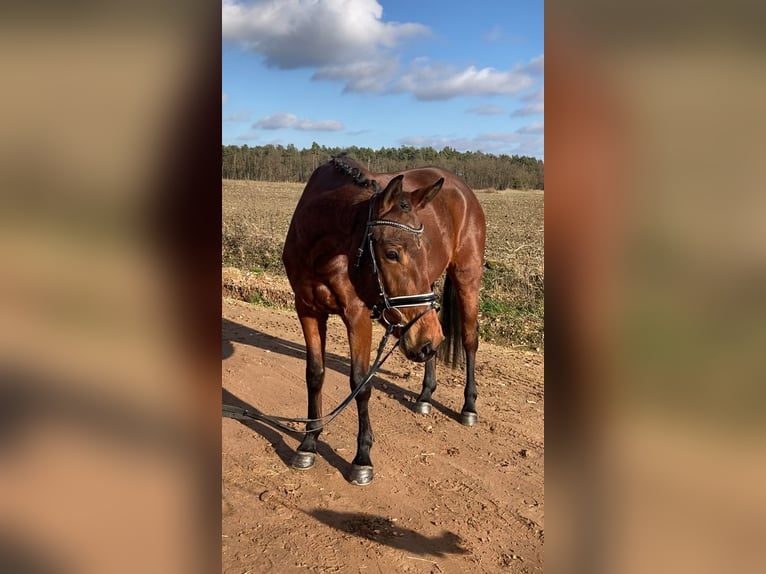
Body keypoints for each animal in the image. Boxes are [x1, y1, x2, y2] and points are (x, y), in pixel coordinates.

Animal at [282, 154, 486, 486]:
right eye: (392, 253)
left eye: (424, 248)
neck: (322, 249)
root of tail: (462, 188)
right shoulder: (308, 310)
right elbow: (314, 374)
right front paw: (308, 443)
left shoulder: (357, 316)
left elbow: (360, 384)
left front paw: (362, 458)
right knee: (432, 341)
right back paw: (425, 395)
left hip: (467, 277)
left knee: (469, 339)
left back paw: (469, 406)